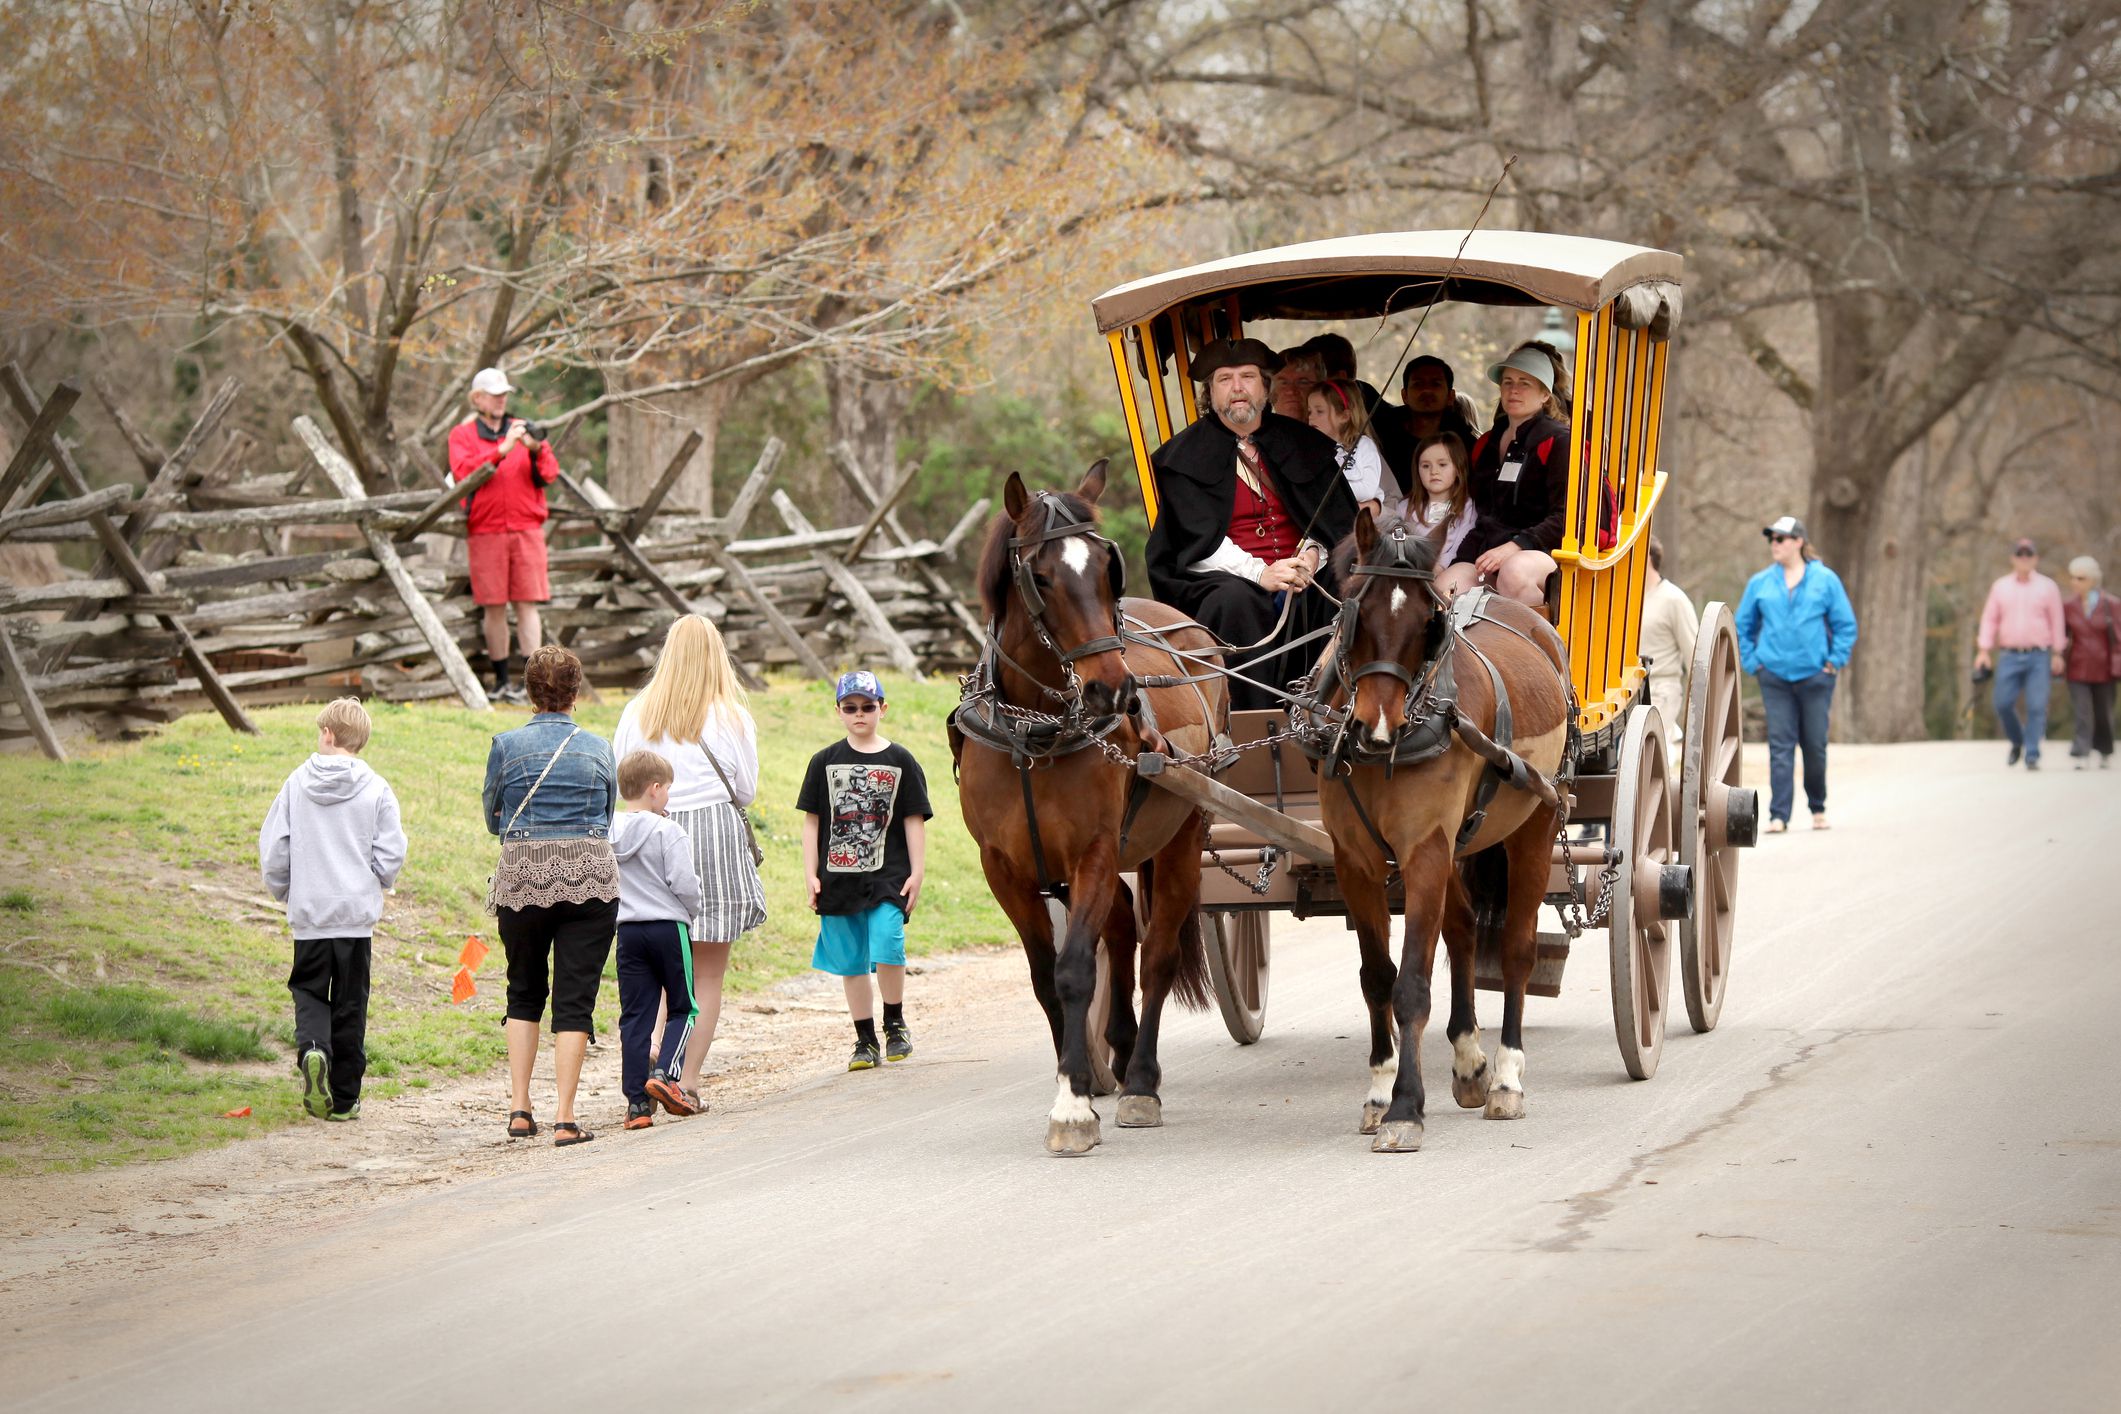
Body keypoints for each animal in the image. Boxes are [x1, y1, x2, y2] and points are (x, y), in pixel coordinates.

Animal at [950, 470, 1221, 1153]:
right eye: (1040, 576)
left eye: (1106, 568)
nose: (1113, 691)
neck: (1033, 733)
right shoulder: (1005, 870)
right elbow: (1046, 977)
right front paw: (1076, 1080)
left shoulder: (1093, 852)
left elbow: (1075, 970)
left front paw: (1072, 1107)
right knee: (1122, 927)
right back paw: (1118, 1053)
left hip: (1182, 838)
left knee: (1157, 953)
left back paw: (1142, 1079)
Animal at [1306, 508, 1578, 1153]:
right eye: (1355, 609)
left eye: (1427, 622)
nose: (1376, 727)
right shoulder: (1355, 860)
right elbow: (1378, 978)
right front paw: (1381, 1092)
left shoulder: (1423, 851)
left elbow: (1412, 982)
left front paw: (1407, 1108)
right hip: (1460, 845)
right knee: (1462, 931)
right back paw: (1470, 1060)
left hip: (1535, 823)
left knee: (1516, 950)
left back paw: (1505, 1077)